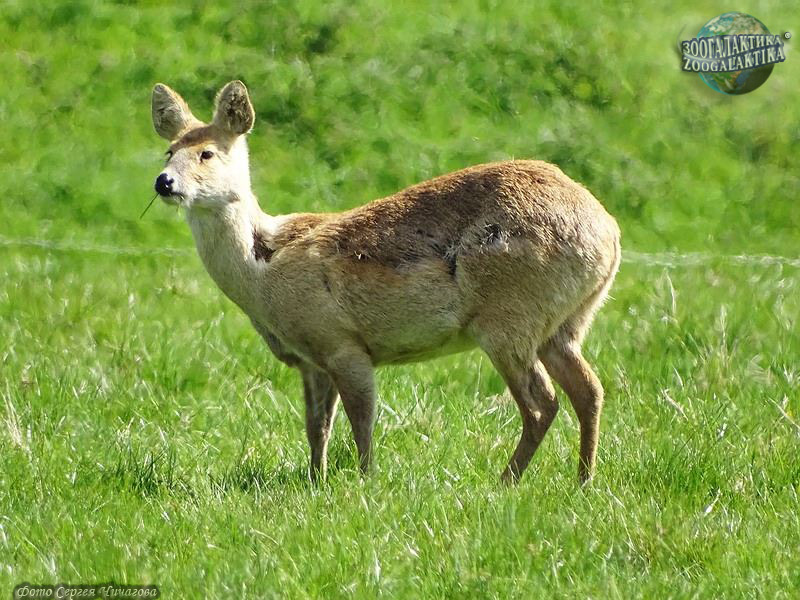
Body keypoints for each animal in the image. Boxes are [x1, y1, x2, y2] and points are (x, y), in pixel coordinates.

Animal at [151, 80, 621, 485]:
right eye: (168, 151)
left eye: (207, 153)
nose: (164, 182)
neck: (262, 269)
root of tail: (609, 231)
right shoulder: (310, 360)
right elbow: (316, 427)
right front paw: (315, 480)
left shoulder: (343, 344)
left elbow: (361, 421)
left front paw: (365, 481)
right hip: (565, 323)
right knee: (588, 390)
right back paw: (583, 480)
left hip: (508, 318)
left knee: (542, 403)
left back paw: (505, 482)